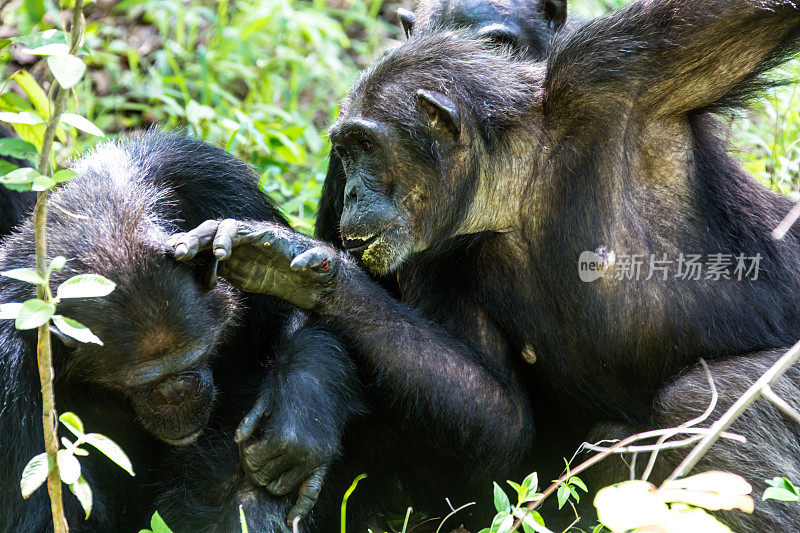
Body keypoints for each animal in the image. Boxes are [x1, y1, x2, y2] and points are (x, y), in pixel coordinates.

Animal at [0, 132, 358, 528]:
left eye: (199, 355)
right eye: (139, 382)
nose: (177, 392)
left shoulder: (222, 187)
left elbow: (294, 309)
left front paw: (300, 411)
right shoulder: (10, 370)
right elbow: (44, 512)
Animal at [173, 1, 800, 528]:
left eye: (365, 146)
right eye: (343, 152)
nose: (349, 189)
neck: (518, 184)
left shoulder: (621, 73)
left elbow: (750, 19)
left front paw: (295, 258)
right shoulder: (437, 260)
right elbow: (500, 418)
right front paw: (294, 271)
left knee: (705, 400)